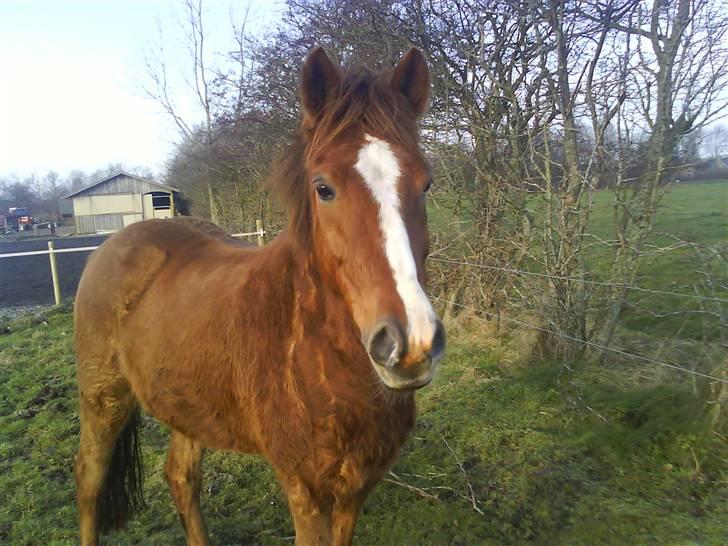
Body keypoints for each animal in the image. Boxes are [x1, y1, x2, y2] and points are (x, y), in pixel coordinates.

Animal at [77, 47, 446, 544]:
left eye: (426, 184)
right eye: (323, 188)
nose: (410, 344)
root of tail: (117, 240)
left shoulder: (354, 492)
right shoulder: (306, 492)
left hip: (185, 406)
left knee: (181, 478)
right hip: (102, 401)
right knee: (89, 483)